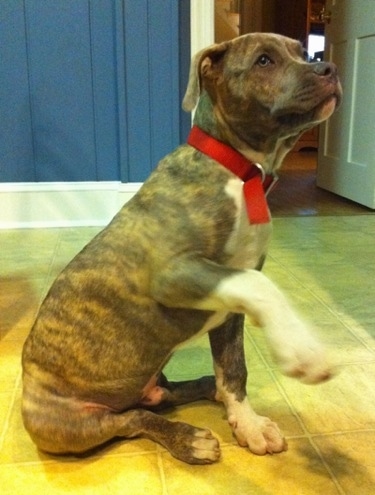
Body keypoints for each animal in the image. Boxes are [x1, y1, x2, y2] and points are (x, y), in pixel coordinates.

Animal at [21, 34, 344, 464]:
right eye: (264, 60)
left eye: (303, 52)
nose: (329, 68)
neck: (240, 174)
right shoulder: (173, 273)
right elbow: (261, 286)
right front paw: (302, 349)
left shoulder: (229, 310)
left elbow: (234, 368)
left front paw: (248, 423)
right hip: (67, 424)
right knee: (131, 420)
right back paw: (188, 439)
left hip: (149, 377)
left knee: (162, 396)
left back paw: (205, 389)